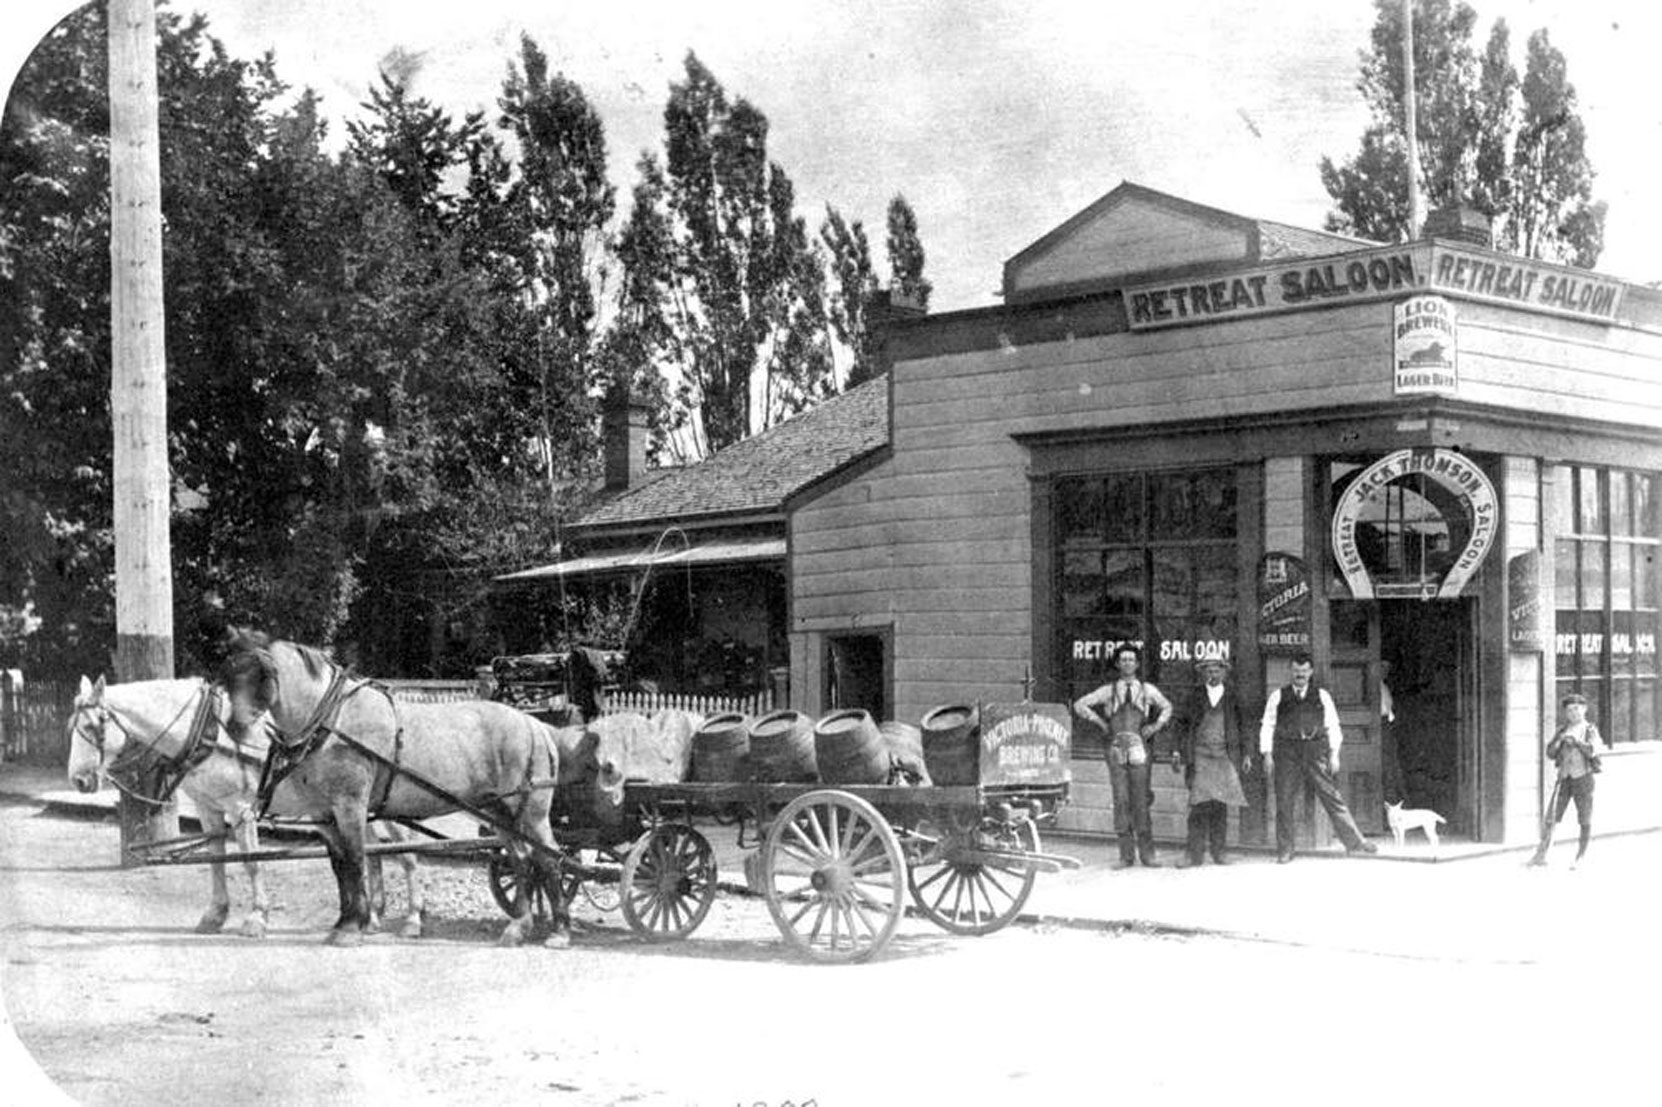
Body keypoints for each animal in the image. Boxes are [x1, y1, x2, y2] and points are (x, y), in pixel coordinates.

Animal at [67, 668, 425, 937]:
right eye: (73, 726)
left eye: (91, 726)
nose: (78, 781)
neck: (209, 729)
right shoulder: (208, 809)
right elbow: (216, 861)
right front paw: (215, 914)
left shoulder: (241, 809)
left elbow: (251, 861)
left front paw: (257, 917)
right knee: (371, 852)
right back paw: (373, 916)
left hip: (382, 804)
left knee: (407, 854)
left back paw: (412, 918)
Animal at [217, 628, 588, 937]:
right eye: (229, 674)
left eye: (262, 673)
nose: (234, 729)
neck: (333, 720)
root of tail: (534, 725)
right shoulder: (325, 812)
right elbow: (340, 865)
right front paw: (346, 920)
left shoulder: (350, 805)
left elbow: (356, 859)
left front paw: (352, 928)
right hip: (499, 812)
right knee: (521, 860)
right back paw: (518, 926)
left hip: (530, 813)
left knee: (549, 859)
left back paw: (559, 930)